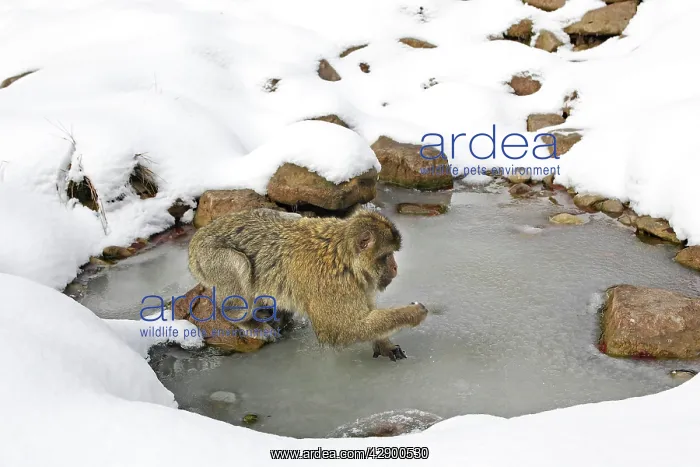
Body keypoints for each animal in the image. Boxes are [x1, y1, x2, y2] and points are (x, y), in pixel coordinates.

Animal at [187, 207, 428, 361]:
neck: (343, 256)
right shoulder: (332, 283)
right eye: (386, 256)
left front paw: (384, 344)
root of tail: (198, 236)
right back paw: (246, 321)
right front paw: (412, 313)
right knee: (239, 266)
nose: (395, 267)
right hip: (208, 257)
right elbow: (340, 329)